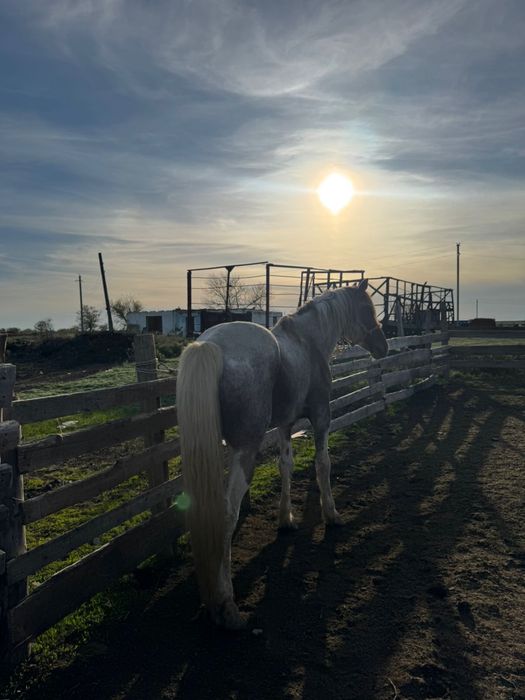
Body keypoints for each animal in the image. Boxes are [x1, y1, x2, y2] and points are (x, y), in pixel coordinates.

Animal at [177, 279, 388, 629]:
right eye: (367, 309)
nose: (383, 346)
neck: (308, 343)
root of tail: (211, 346)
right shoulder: (321, 417)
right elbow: (323, 464)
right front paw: (332, 515)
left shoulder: (285, 424)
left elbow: (285, 466)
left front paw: (285, 520)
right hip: (245, 449)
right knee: (226, 512)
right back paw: (226, 603)